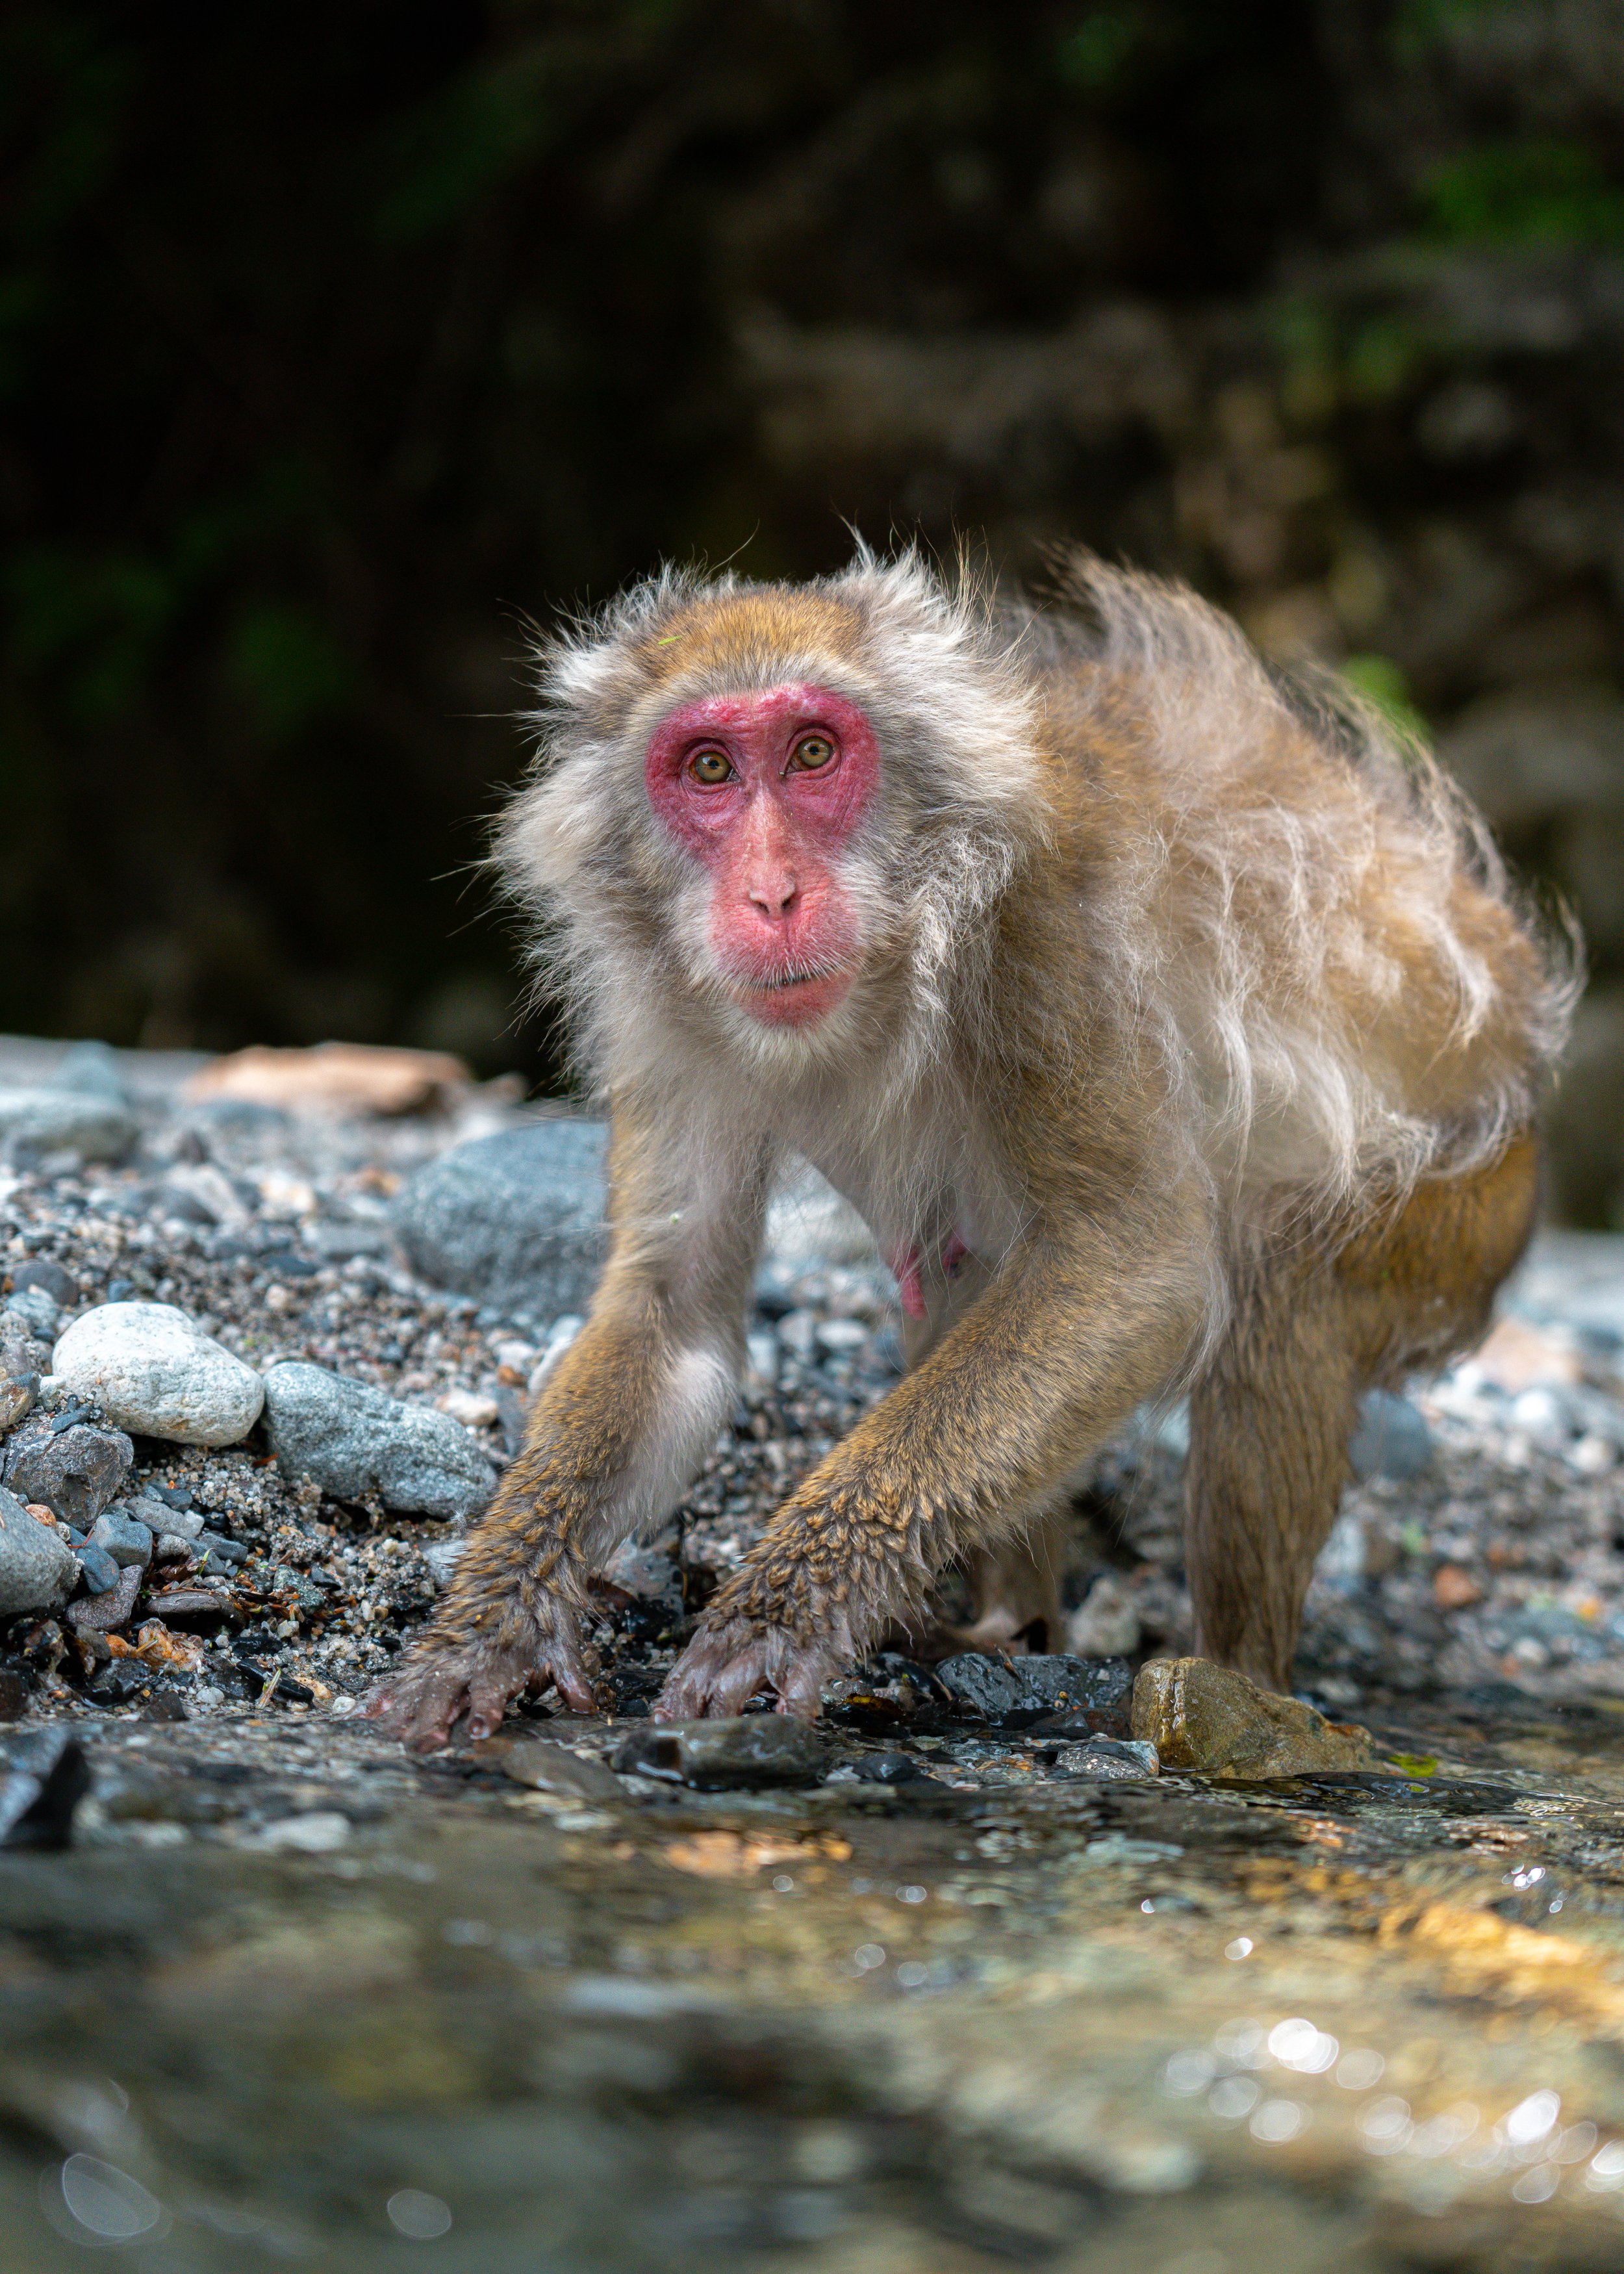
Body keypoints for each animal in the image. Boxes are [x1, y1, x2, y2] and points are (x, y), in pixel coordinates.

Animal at [366, 549, 1576, 1749]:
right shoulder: (659, 1004)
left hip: (1460, 1202)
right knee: (960, 1263)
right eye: (707, 768)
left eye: (813, 752)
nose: (771, 893)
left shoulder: (1047, 926)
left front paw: (784, 1609)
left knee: (1279, 1298)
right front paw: (494, 1619)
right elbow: (675, 1316)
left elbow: (1134, 1270)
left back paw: (1241, 1689)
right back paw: (1012, 1626)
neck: (916, 914)